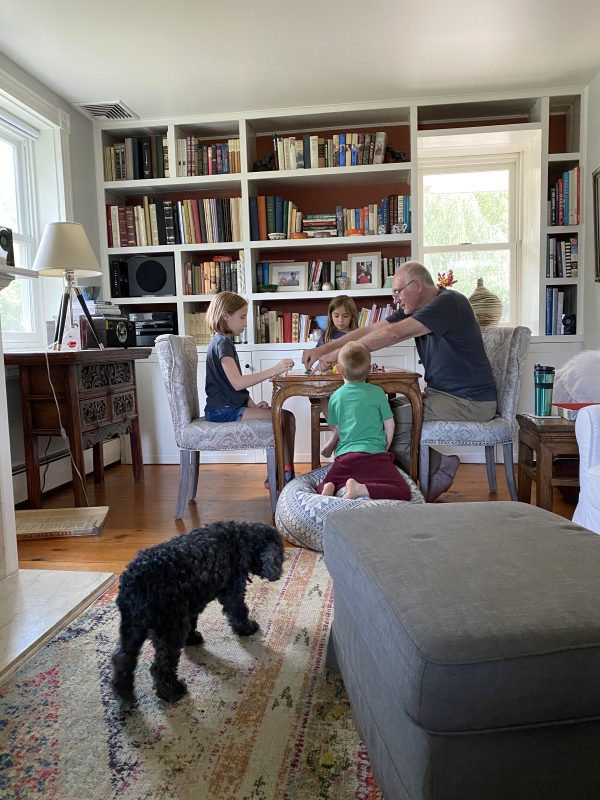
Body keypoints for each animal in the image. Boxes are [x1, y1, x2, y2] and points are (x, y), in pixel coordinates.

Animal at [111, 520, 284, 700]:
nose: (279, 572)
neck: (241, 537)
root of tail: (133, 580)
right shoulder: (233, 589)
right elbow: (239, 611)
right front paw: (247, 628)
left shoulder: (191, 606)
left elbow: (193, 623)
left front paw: (192, 639)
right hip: (169, 629)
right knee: (161, 666)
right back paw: (172, 691)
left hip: (133, 629)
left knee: (122, 659)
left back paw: (124, 694)